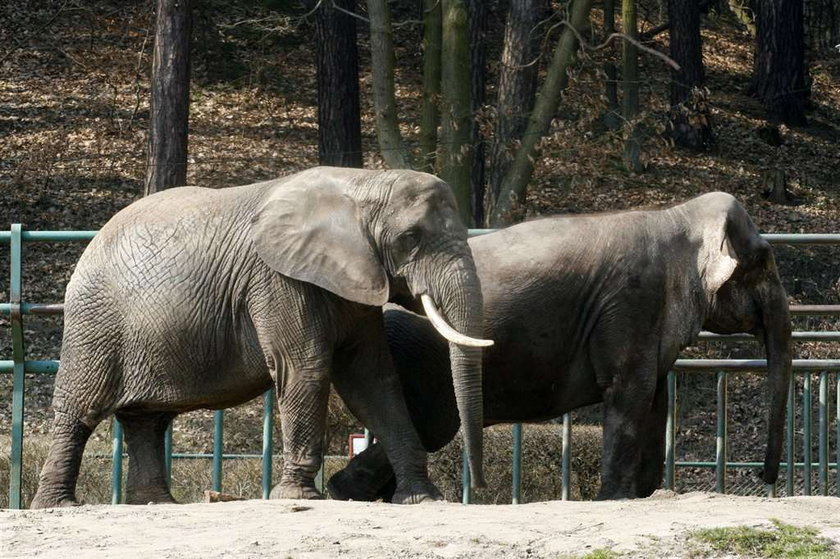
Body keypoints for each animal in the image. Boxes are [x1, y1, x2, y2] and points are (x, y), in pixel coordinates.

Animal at [31, 165, 492, 508]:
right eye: (411, 238)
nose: (482, 487)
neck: (363, 182)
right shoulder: (277, 280)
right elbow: (306, 367)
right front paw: (299, 497)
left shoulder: (355, 283)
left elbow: (373, 378)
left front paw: (423, 499)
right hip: (94, 322)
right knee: (80, 409)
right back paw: (58, 505)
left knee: (147, 418)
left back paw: (156, 505)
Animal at [330, 194, 796, 504]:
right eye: (765, 260)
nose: (765, 478)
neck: (679, 213)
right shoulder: (632, 299)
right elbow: (629, 389)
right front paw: (616, 499)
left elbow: (654, 395)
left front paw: (641, 495)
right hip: (415, 354)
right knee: (432, 424)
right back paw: (347, 491)